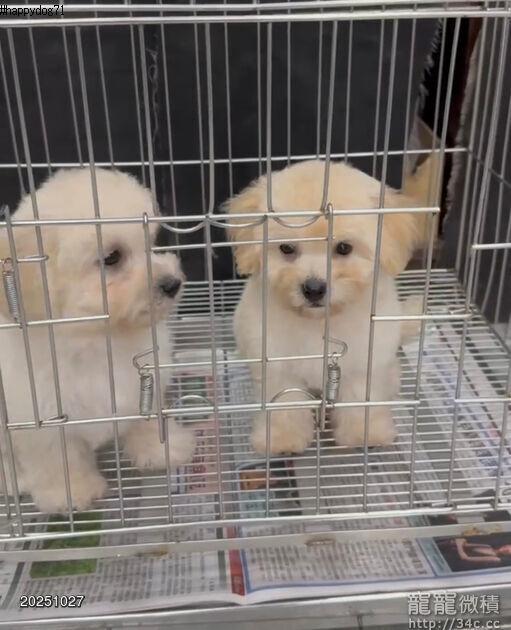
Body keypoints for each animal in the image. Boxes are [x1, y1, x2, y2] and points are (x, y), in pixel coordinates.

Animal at [0, 168, 196, 513]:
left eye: (150, 242)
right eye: (112, 257)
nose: (172, 283)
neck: (98, 339)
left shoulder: (142, 382)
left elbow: (145, 420)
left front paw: (162, 449)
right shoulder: (38, 416)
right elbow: (56, 457)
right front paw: (71, 492)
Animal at [226, 159, 432, 454]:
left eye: (344, 248)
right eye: (286, 248)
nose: (313, 288)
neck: (319, 322)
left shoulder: (363, 361)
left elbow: (360, 399)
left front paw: (363, 434)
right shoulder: (275, 363)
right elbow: (284, 402)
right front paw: (282, 439)